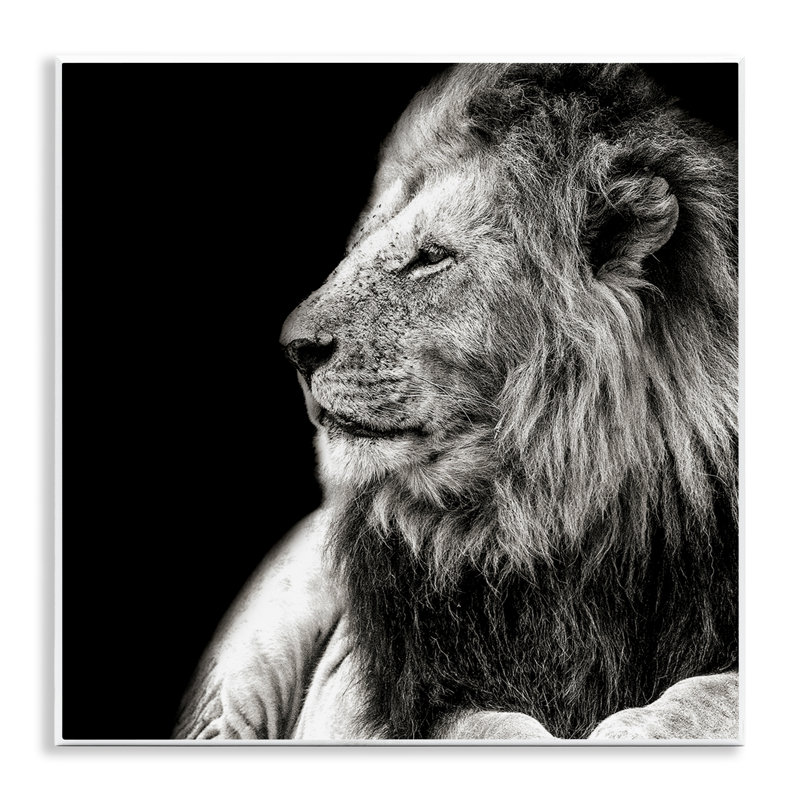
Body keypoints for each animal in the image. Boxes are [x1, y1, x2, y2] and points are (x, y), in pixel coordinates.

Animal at [174, 63, 739, 741]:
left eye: (431, 256)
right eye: (360, 247)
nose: (294, 348)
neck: (546, 520)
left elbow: (704, 695)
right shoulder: (382, 697)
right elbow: (491, 727)